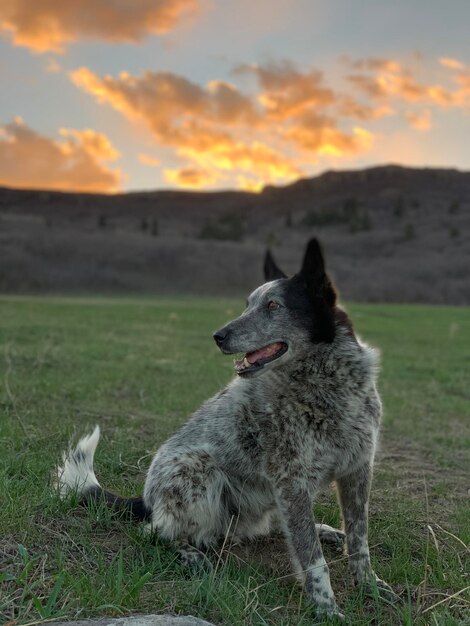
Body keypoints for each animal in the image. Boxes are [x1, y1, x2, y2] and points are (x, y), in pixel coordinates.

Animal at [55, 236, 394, 616]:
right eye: (247, 305)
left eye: (273, 305)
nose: (218, 336)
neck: (327, 386)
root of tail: (147, 500)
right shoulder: (291, 482)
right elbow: (312, 560)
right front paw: (326, 608)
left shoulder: (357, 470)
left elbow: (359, 540)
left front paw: (368, 585)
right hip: (199, 473)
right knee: (157, 531)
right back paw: (190, 553)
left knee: (276, 527)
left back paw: (324, 530)